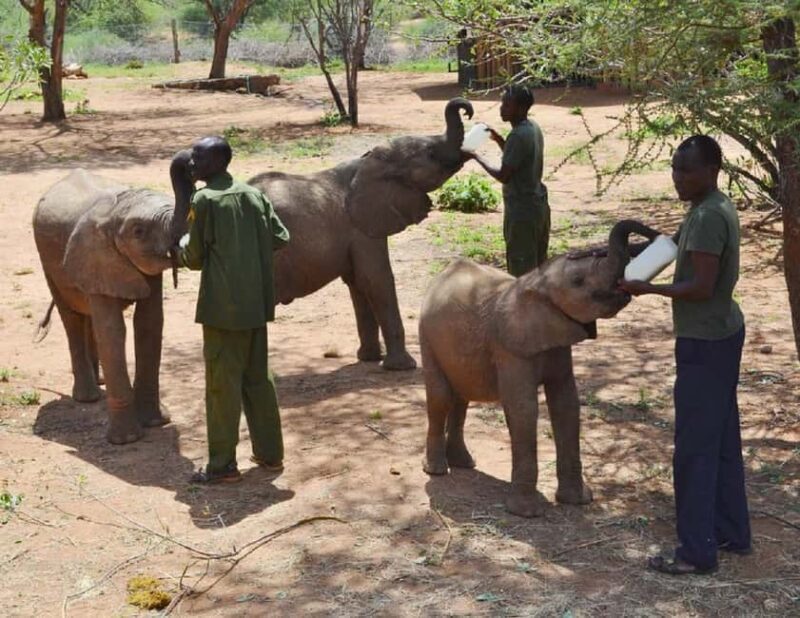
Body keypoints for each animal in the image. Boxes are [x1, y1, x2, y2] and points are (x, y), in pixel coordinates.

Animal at [33, 152, 193, 444]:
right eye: (138, 232)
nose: (188, 159)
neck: (117, 211)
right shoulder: (95, 256)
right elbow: (112, 330)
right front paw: (127, 440)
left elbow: (149, 324)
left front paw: (156, 423)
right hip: (47, 261)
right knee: (71, 317)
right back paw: (87, 397)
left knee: (87, 317)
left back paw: (100, 382)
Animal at [248, 97, 474, 370]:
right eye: (430, 153)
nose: (467, 110)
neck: (368, 161)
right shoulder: (362, 228)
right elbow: (376, 279)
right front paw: (402, 367)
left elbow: (357, 283)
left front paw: (368, 358)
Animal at [419, 220, 658, 517]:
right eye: (577, 281)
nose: (654, 234)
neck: (537, 281)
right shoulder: (509, 347)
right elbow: (524, 408)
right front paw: (527, 513)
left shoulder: (558, 339)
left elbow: (566, 405)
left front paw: (578, 501)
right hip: (426, 334)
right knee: (441, 397)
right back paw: (438, 470)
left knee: (462, 397)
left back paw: (464, 462)